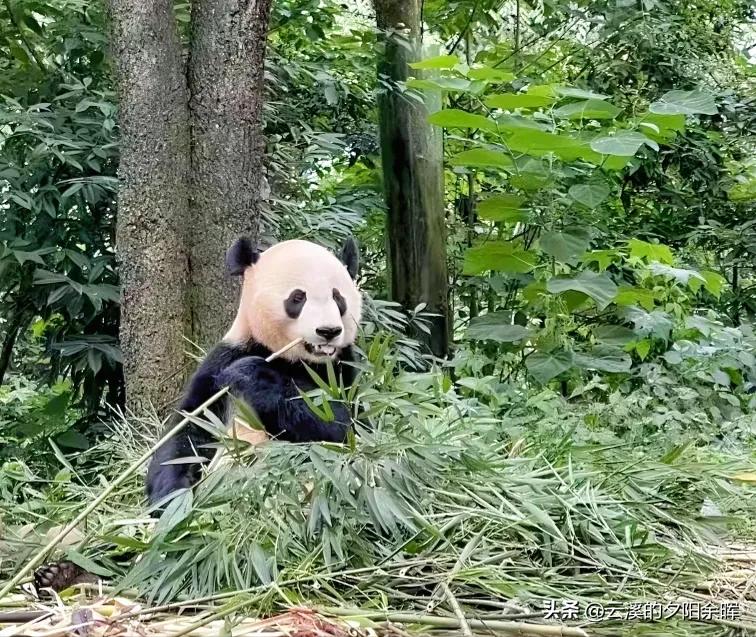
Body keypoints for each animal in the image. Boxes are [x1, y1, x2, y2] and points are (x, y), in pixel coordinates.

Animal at [146, 236, 363, 506]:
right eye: (298, 297)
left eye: (338, 297)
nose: (328, 331)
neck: (293, 359)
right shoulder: (221, 361)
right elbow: (188, 430)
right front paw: (173, 500)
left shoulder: (345, 370)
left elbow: (344, 428)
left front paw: (249, 373)